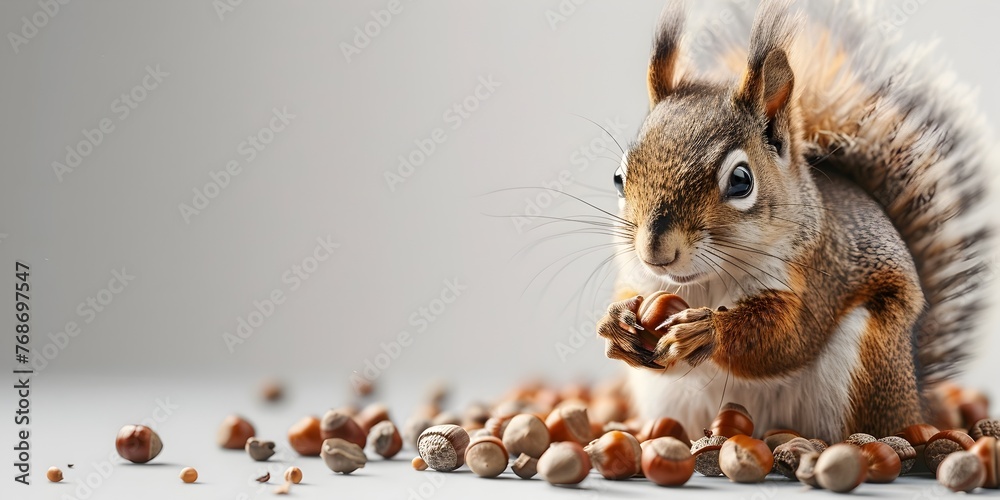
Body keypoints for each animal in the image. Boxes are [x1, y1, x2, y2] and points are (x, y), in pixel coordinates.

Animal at [596, 0, 996, 446]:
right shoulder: (642, 277)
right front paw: (615, 323)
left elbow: (788, 335)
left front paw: (707, 331)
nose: (655, 251)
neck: (704, 283)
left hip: (869, 362)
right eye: (618, 178)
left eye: (741, 181)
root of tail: (914, 398)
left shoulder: (817, 276)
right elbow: (632, 297)